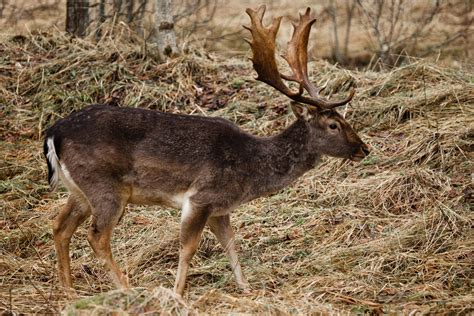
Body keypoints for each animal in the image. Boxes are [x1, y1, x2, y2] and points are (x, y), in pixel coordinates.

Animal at [44, 6, 370, 298]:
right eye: (333, 124)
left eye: (345, 120)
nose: (363, 148)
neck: (249, 170)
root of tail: (53, 132)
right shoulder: (200, 197)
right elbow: (188, 248)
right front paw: (177, 294)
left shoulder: (220, 208)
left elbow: (231, 244)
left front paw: (246, 289)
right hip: (106, 186)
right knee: (96, 236)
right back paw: (126, 289)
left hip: (79, 189)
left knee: (60, 226)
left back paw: (68, 291)